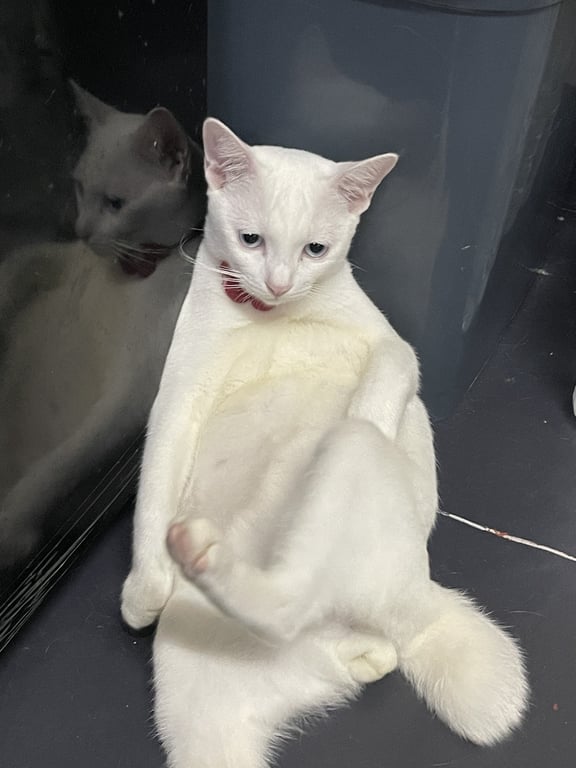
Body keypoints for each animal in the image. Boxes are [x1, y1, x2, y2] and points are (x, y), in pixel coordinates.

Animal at [0, 83, 205, 568]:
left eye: (116, 203)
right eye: (79, 185)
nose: (81, 229)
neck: (131, 276)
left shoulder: (134, 391)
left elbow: (67, 459)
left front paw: (13, 525)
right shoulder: (49, 259)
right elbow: (16, 267)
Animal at [121, 118, 529, 768]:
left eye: (315, 249)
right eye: (252, 240)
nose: (279, 283)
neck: (270, 317)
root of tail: (416, 607)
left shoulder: (395, 349)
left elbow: (380, 389)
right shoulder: (177, 402)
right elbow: (153, 493)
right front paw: (143, 591)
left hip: (351, 528)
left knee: (305, 580)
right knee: (309, 624)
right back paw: (199, 558)